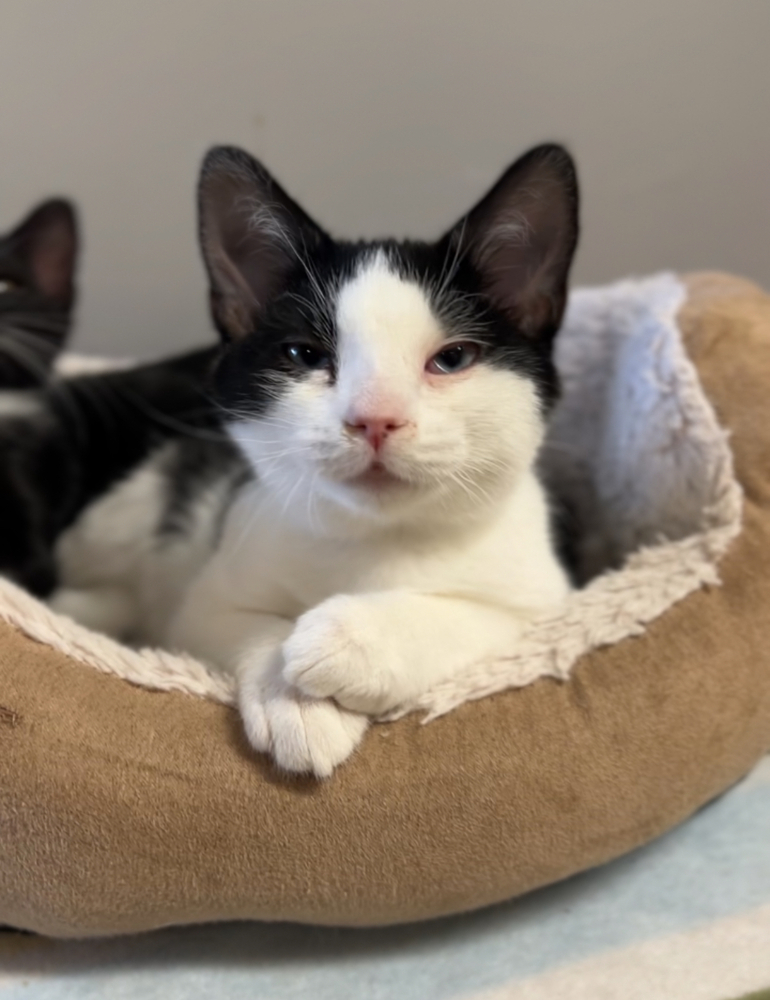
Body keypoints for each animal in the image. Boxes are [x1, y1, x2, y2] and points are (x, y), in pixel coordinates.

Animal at [49, 143, 576, 772]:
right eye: (304, 354)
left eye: (452, 359)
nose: (375, 418)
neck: (377, 540)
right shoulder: (211, 590)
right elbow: (239, 621)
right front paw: (293, 696)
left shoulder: (543, 603)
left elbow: (478, 617)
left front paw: (349, 640)